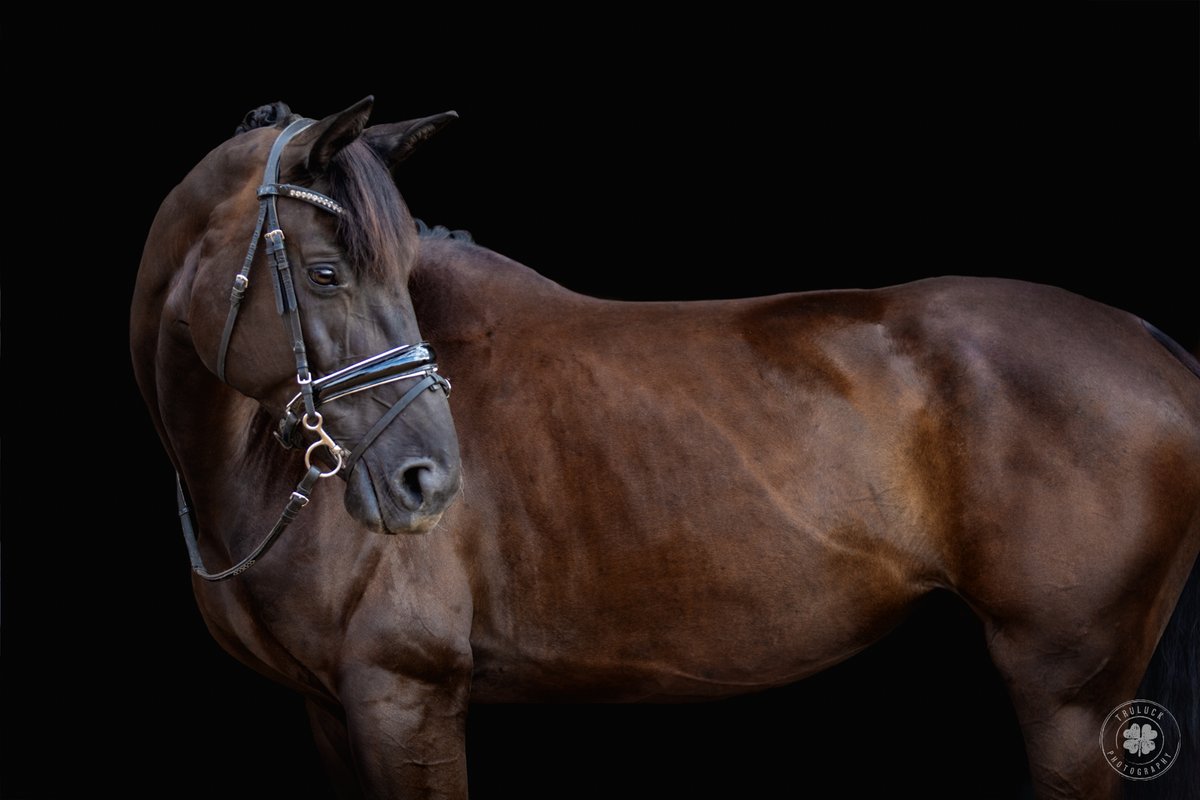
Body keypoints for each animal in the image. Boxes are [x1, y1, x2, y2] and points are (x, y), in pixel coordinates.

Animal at [132, 99, 1200, 799]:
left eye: (395, 271)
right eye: (324, 272)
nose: (427, 481)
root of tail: (1155, 347)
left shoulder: (406, 695)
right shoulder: (327, 710)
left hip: (1068, 694)